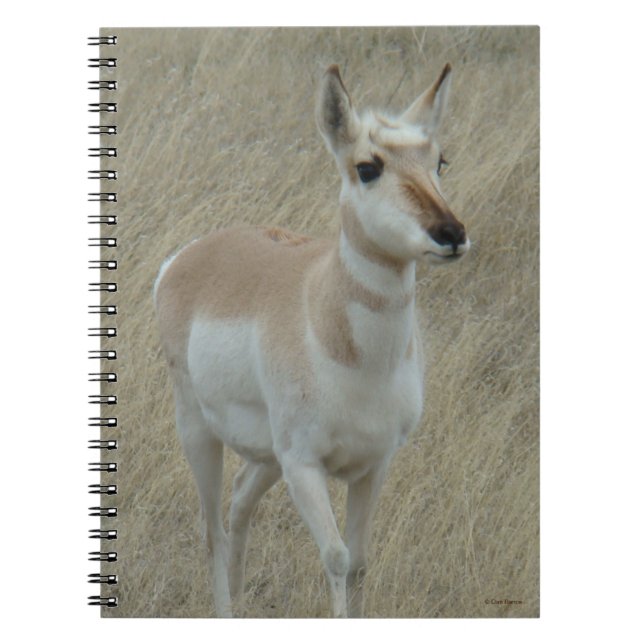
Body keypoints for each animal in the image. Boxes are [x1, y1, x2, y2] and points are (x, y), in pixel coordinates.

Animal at [154, 63, 469, 618]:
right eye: (367, 167)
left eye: (440, 160)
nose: (450, 233)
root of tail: (189, 256)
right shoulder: (304, 466)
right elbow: (337, 558)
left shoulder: (373, 465)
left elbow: (361, 560)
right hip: (200, 432)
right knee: (213, 530)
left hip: (266, 457)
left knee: (240, 501)